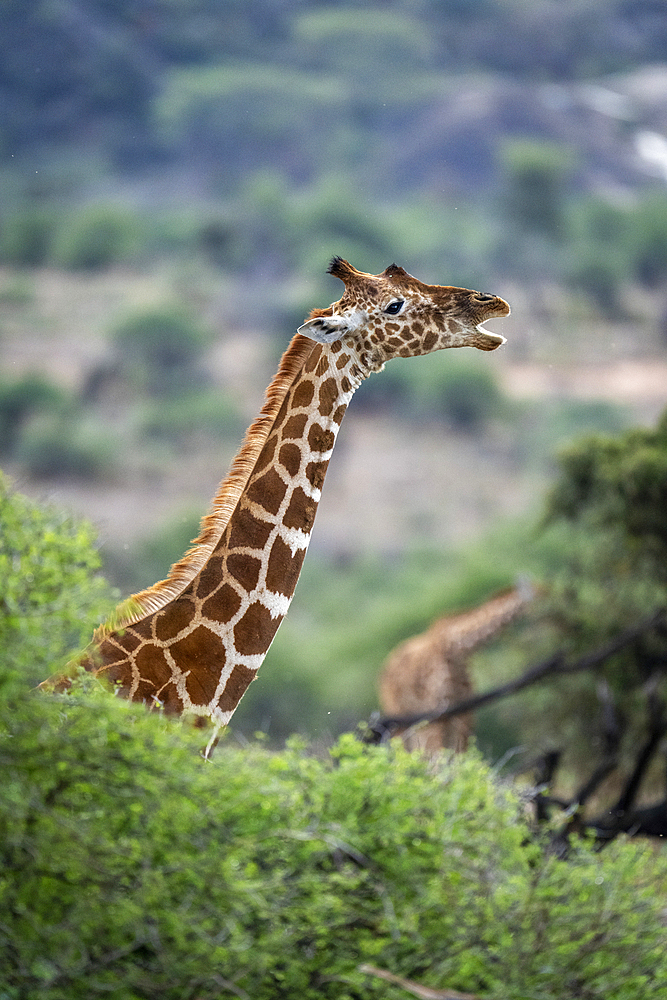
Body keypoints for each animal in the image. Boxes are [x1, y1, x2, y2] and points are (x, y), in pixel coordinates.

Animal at [378, 580, 536, 756]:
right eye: (542, 591)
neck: (457, 651)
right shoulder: (437, 712)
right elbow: (439, 757)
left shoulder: (463, 711)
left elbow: (459, 754)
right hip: (400, 716)